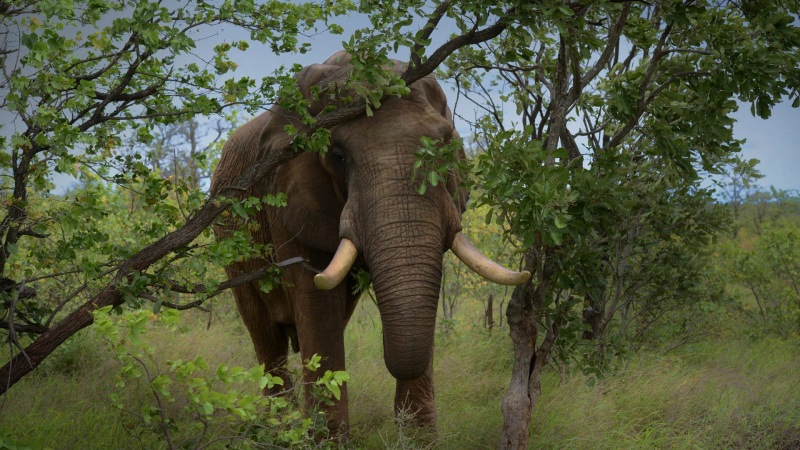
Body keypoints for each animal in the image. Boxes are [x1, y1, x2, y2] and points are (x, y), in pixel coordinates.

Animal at [210, 51, 530, 435]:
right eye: (337, 156)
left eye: (445, 148)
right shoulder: (286, 196)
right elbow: (316, 299)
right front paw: (325, 438)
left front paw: (419, 438)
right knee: (266, 337)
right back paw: (280, 426)